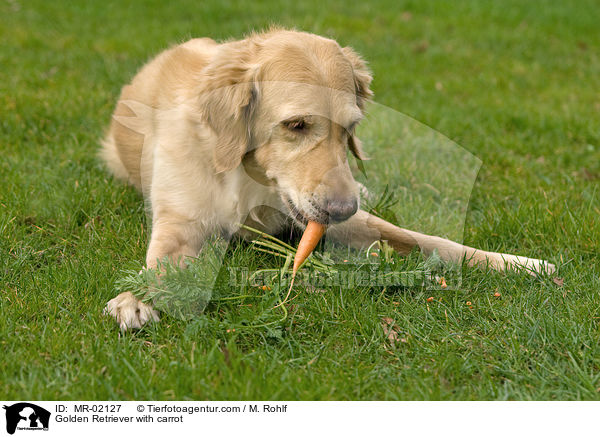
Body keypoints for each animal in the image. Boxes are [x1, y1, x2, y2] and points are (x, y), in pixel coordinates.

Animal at [101, 29, 556, 328]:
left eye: (349, 127)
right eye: (296, 125)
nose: (342, 208)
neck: (252, 180)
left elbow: (431, 241)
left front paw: (519, 263)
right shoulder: (181, 220)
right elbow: (161, 261)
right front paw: (137, 296)